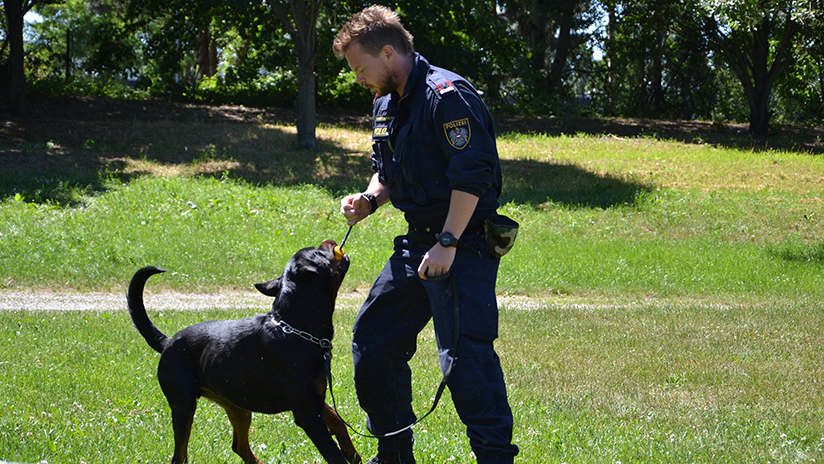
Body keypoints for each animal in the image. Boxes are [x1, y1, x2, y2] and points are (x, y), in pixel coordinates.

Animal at [127, 239, 358, 464]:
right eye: (317, 252)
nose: (327, 241)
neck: (295, 327)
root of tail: (167, 342)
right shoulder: (307, 413)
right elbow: (333, 454)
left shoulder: (315, 399)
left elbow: (338, 421)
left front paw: (352, 453)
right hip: (183, 406)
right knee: (180, 455)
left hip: (236, 405)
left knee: (239, 446)